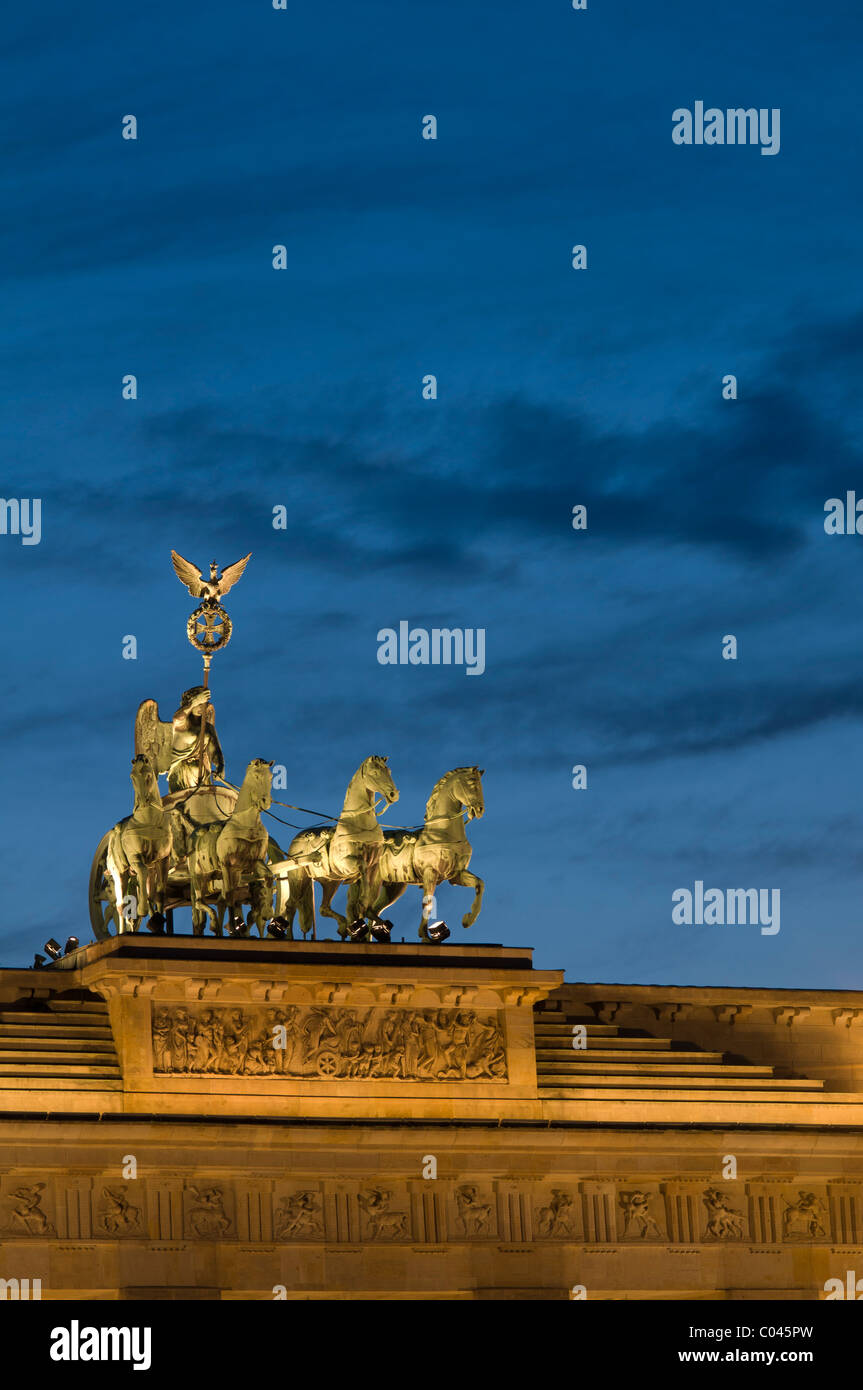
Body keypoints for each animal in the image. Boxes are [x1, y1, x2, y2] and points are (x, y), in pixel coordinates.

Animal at [104, 750, 171, 934]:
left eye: (148, 775)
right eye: (132, 777)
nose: (143, 802)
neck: (148, 820)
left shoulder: (163, 859)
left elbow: (160, 891)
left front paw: (158, 918)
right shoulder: (135, 858)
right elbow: (142, 872)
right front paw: (142, 910)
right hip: (119, 872)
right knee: (121, 905)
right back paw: (124, 931)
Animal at [270, 756, 397, 939]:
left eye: (389, 771)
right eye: (374, 772)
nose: (394, 794)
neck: (359, 823)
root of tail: (296, 839)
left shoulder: (373, 867)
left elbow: (368, 892)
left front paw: (369, 916)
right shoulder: (347, 863)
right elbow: (361, 866)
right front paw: (362, 905)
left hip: (330, 882)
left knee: (323, 908)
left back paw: (343, 924)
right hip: (299, 879)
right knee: (290, 906)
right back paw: (289, 937)